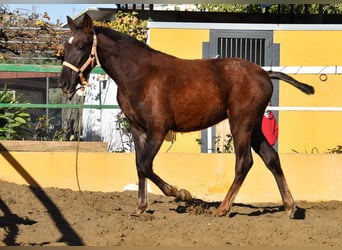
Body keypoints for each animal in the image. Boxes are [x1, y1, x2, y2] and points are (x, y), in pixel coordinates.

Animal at [60, 13, 314, 218]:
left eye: (81, 45)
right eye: (66, 44)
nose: (64, 83)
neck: (139, 74)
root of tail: (264, 73)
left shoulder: (158, 129)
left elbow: (145, 165)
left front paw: (182, 194)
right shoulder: (137, 128)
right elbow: (139, 164)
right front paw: (140, 207)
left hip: (241, 123)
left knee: (244, 162)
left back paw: (223, 208)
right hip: (254, 126)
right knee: (271, 158)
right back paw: (290, 207)